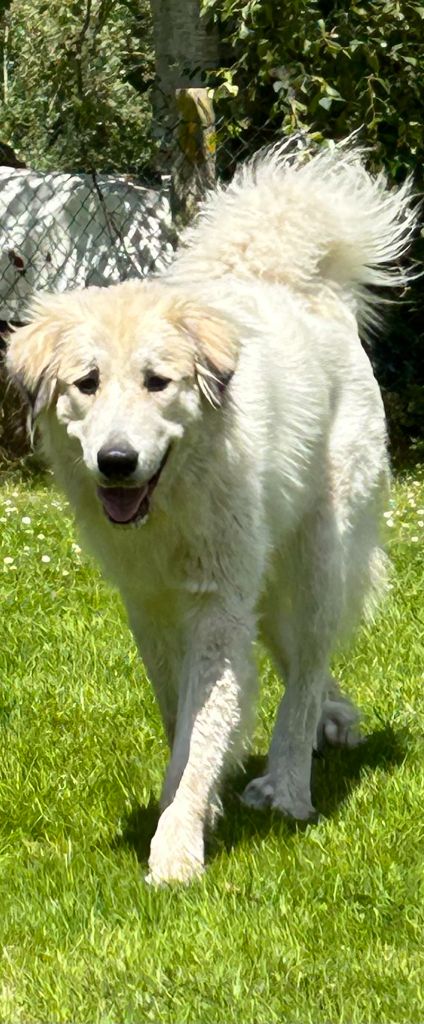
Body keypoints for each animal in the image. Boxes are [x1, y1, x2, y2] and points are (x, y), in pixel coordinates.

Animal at [6, 140, 415, 884]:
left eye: (157, 382)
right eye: (87, 384)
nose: (116, 461)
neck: (171, 500)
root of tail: (299, 283)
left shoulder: (216, 607)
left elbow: (201, 726)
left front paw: (177, 844)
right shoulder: (151, 606)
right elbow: (180, 715)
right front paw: (191, 803)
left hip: (315, 558)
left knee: (305, 669)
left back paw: (289, 785)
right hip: (270, 580)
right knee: (298, 660)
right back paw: (335, 719)